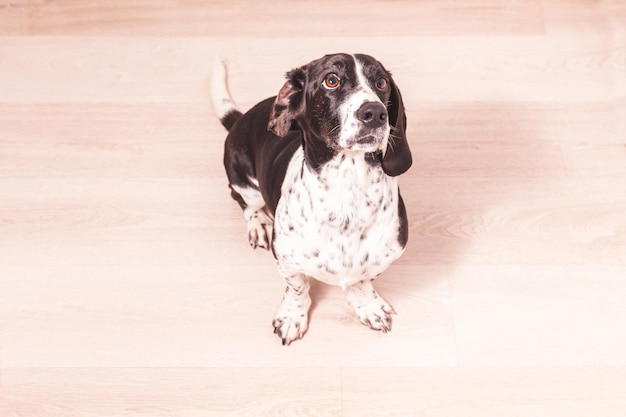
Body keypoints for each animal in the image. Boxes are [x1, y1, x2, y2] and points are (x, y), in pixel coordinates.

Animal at [212, 52, 412, 344]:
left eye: (381, 82)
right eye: (331, 80)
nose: (375, 113)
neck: (348, 188)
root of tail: (241, 118)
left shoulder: (382, 258)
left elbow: (361, 282)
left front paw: (368, 306)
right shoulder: (286, 261)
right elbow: (297, 288)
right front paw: (292, 316)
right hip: (243, 181)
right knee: (245, 201)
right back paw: (258, 225)